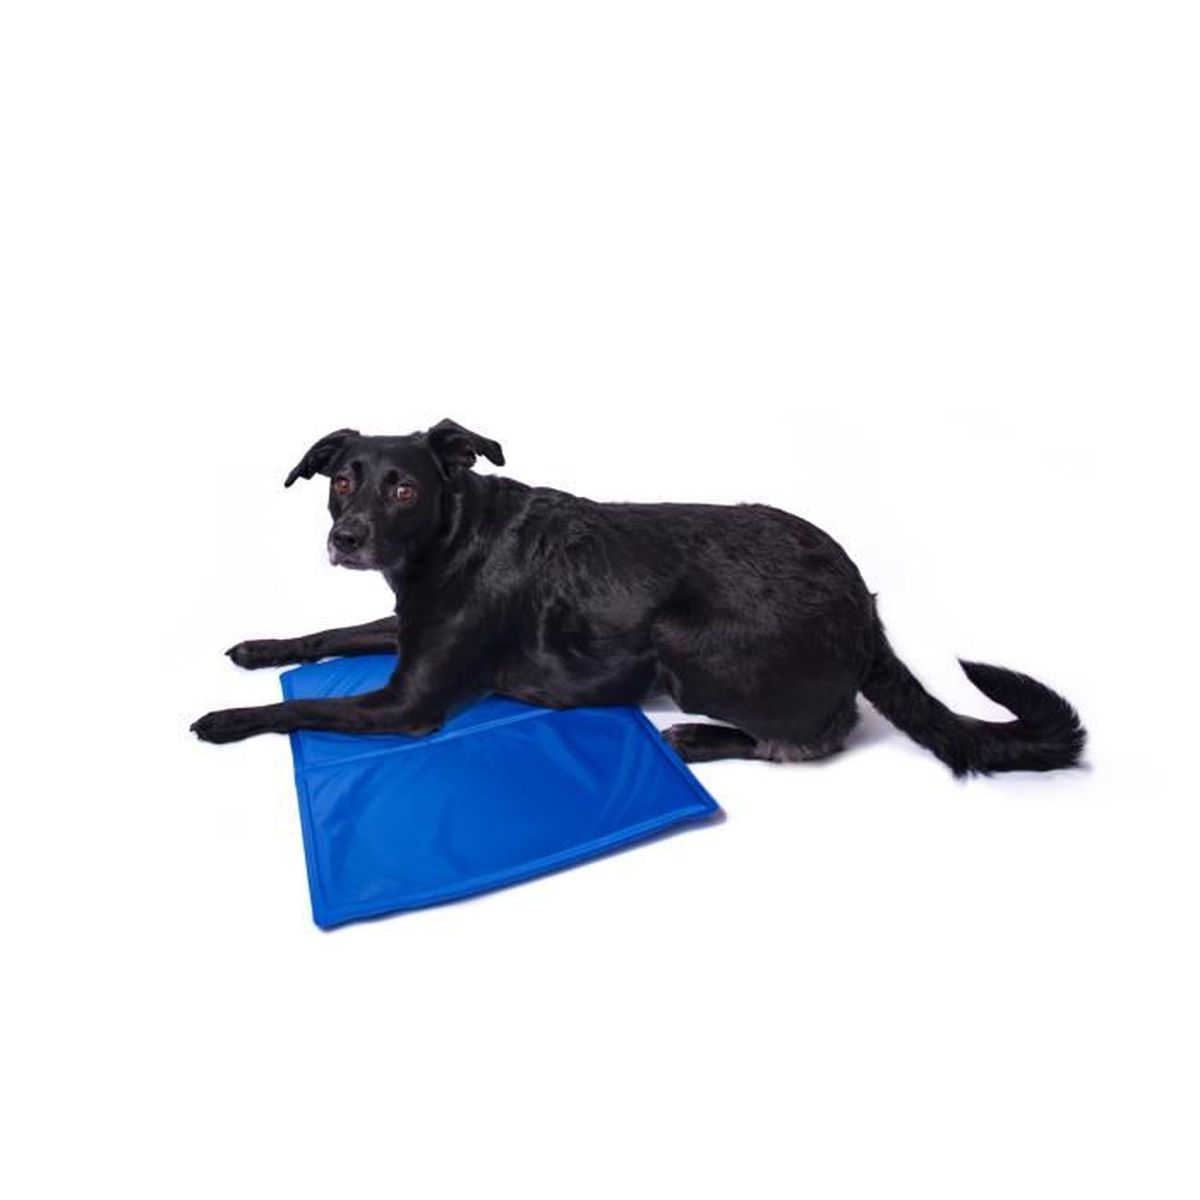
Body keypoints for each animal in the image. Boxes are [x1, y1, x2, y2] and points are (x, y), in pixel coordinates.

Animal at [191, 419, 1085, 774]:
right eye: (342, 481)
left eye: (404, 488)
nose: (347, 538)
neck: (453, 534)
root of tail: (862, 602)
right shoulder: (409, 628)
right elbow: (333, 631)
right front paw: (259, 648)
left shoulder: (406, 704)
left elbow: (304, 708)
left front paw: (227, 718)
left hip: (686, 648)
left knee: (821, 734)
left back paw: (700, 737)